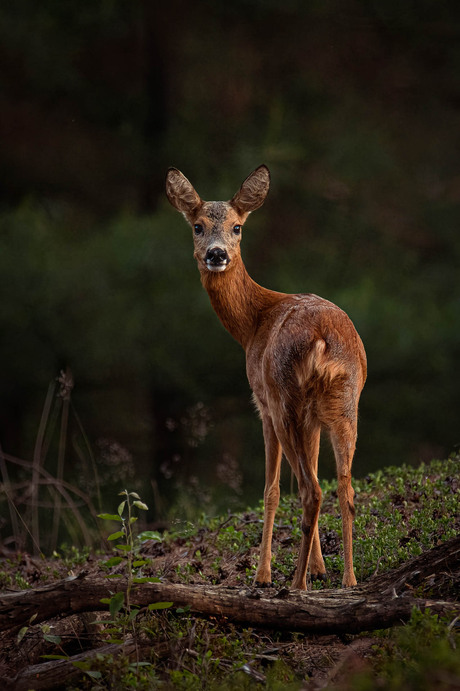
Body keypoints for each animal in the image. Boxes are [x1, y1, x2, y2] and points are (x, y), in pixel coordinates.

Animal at [165, 164, 366, 588]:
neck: (252, 324)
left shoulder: (262, 403)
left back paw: (295, 585)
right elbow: (318, 473)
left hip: (285, 397)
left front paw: (263, 574)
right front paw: (321, 567)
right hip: (345, 402)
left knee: (309, 490)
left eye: (238, 227)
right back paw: (349, 580)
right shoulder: (313, 418)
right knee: (344, 487)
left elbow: (271, 489)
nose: (217, 254)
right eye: (197, 226)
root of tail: (322, 338)